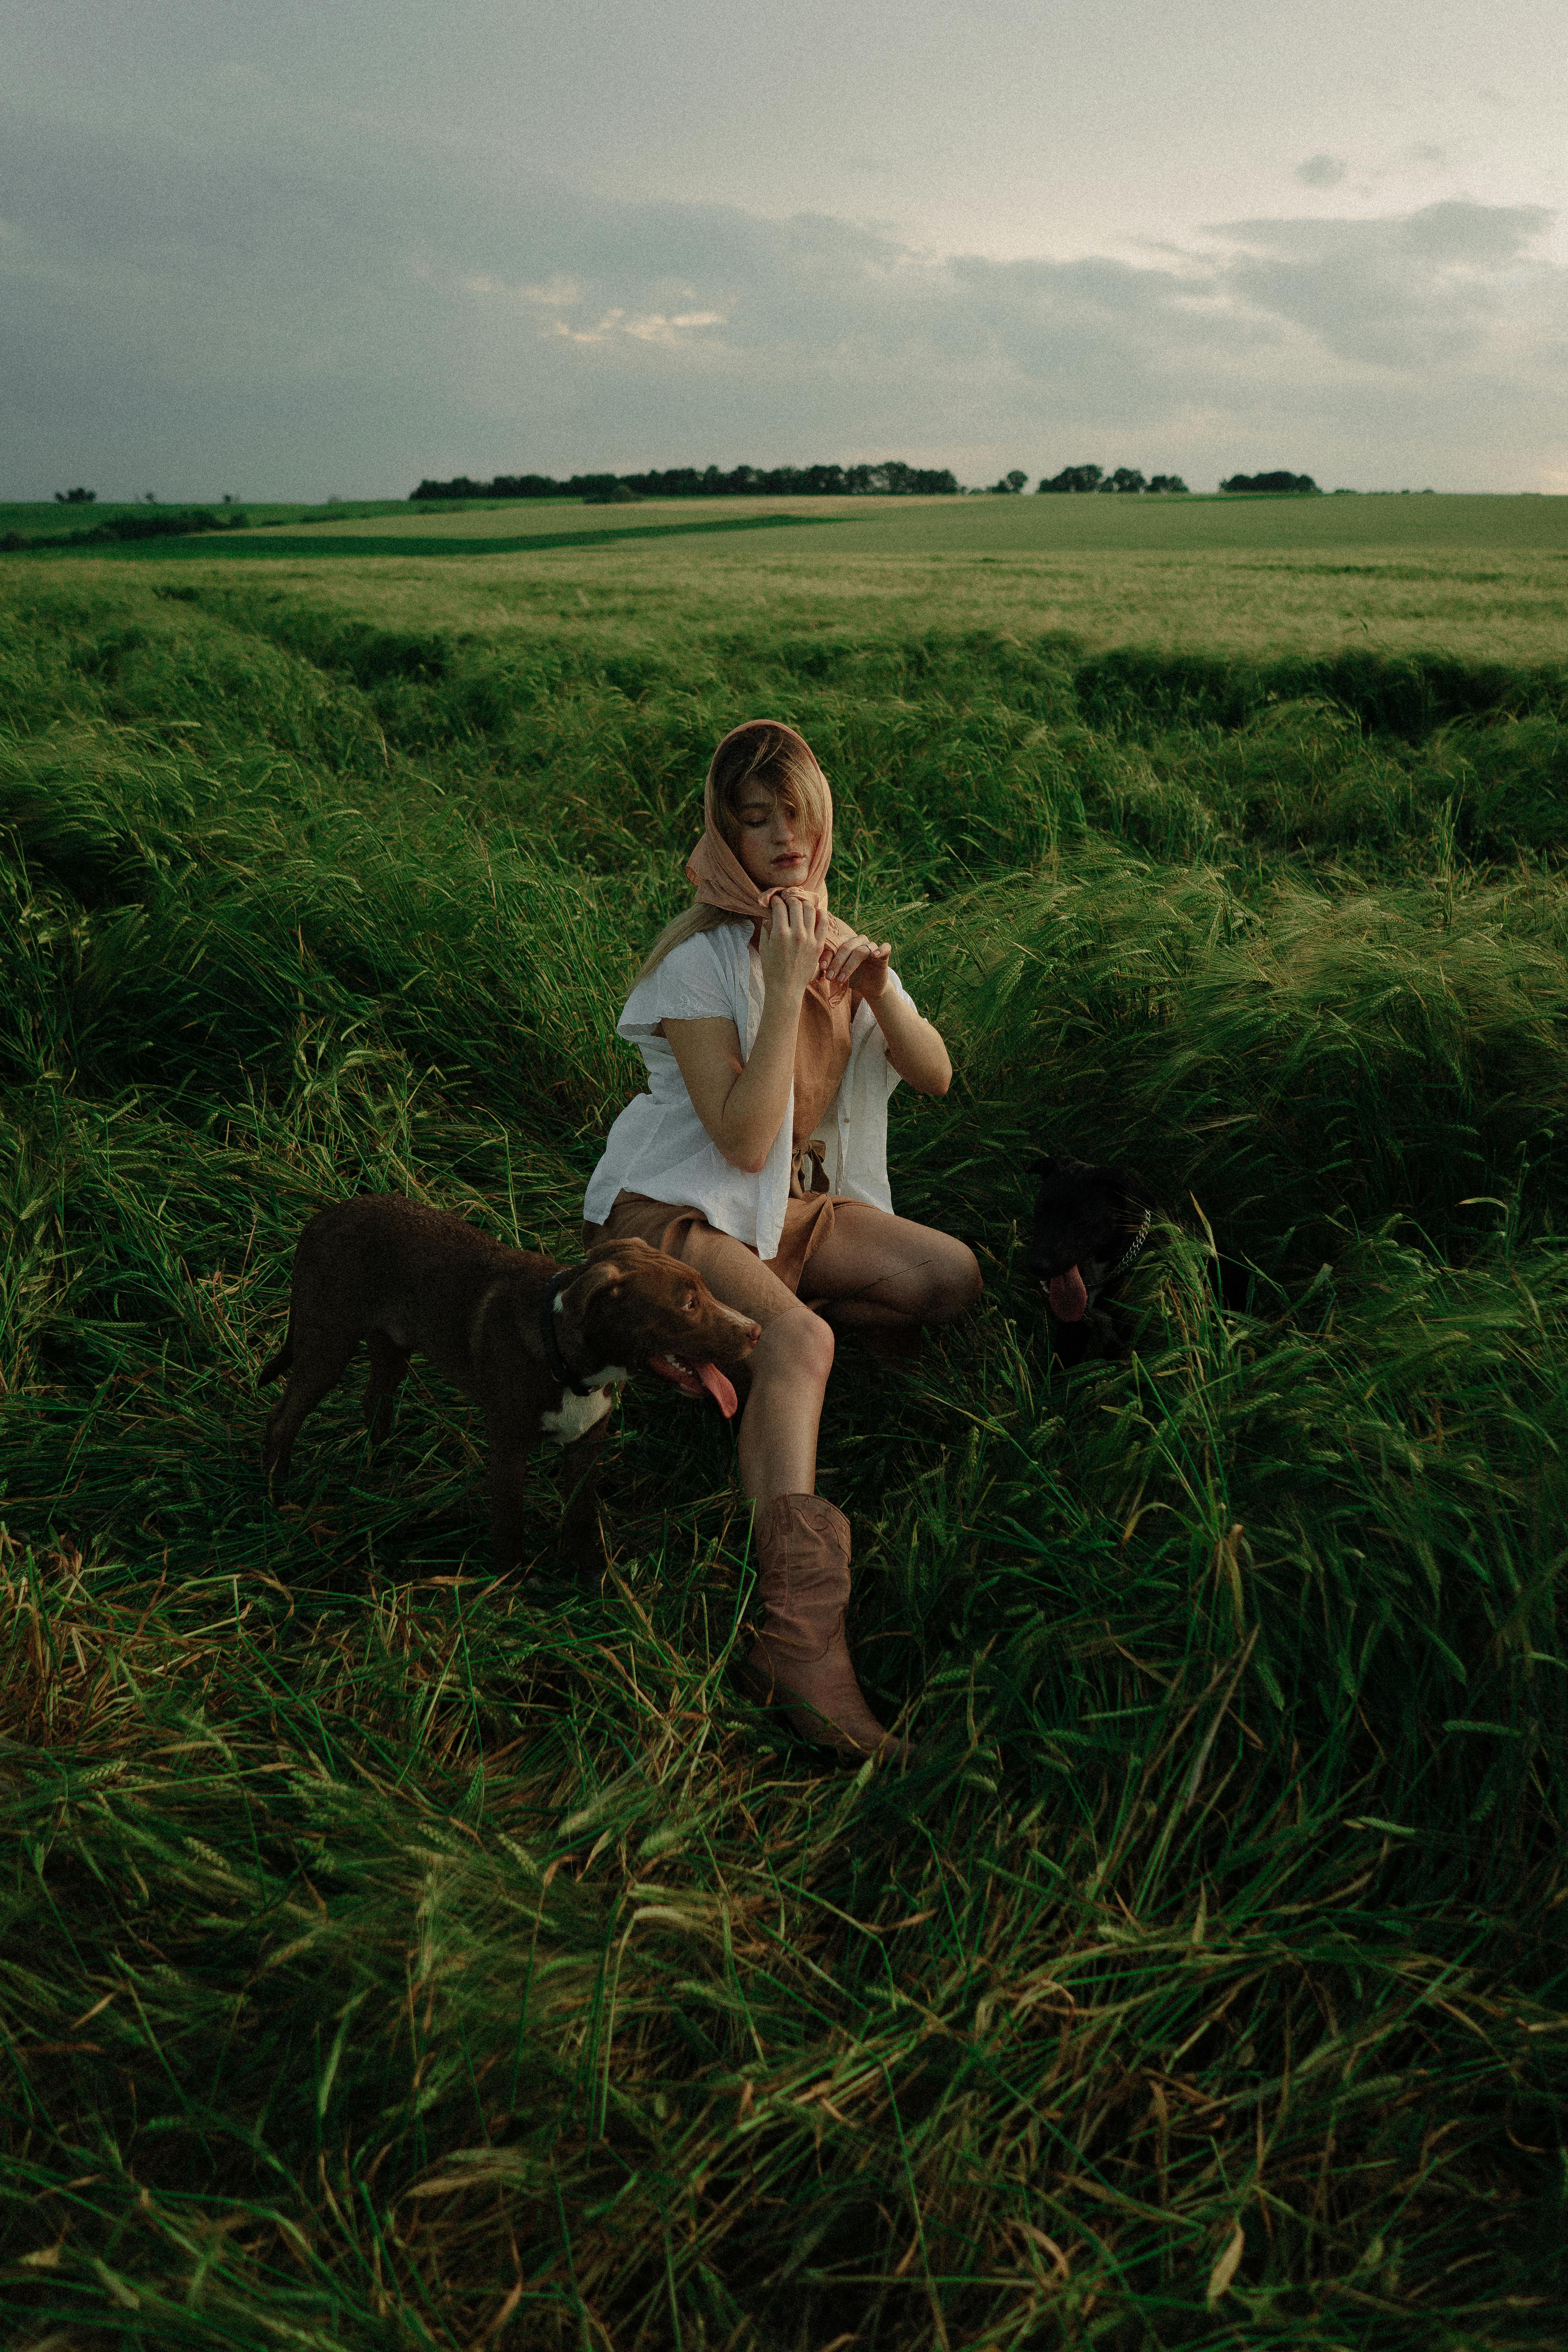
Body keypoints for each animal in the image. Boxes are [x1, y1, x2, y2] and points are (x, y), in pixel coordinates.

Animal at [258, 1204, 761, 1571]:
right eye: (689, 1305)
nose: (756, 1331)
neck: (571, 1369)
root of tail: (321, 1218)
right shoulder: (508, 1447)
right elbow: (509, 1520)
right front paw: (510, 1586)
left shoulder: (587, 1445)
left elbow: (581, 1516)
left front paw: (589, 1580)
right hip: (327, 1342)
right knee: (283, 1418)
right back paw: (276, 1497)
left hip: (391, 1344)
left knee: (373, 1401)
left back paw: (381, 1470)